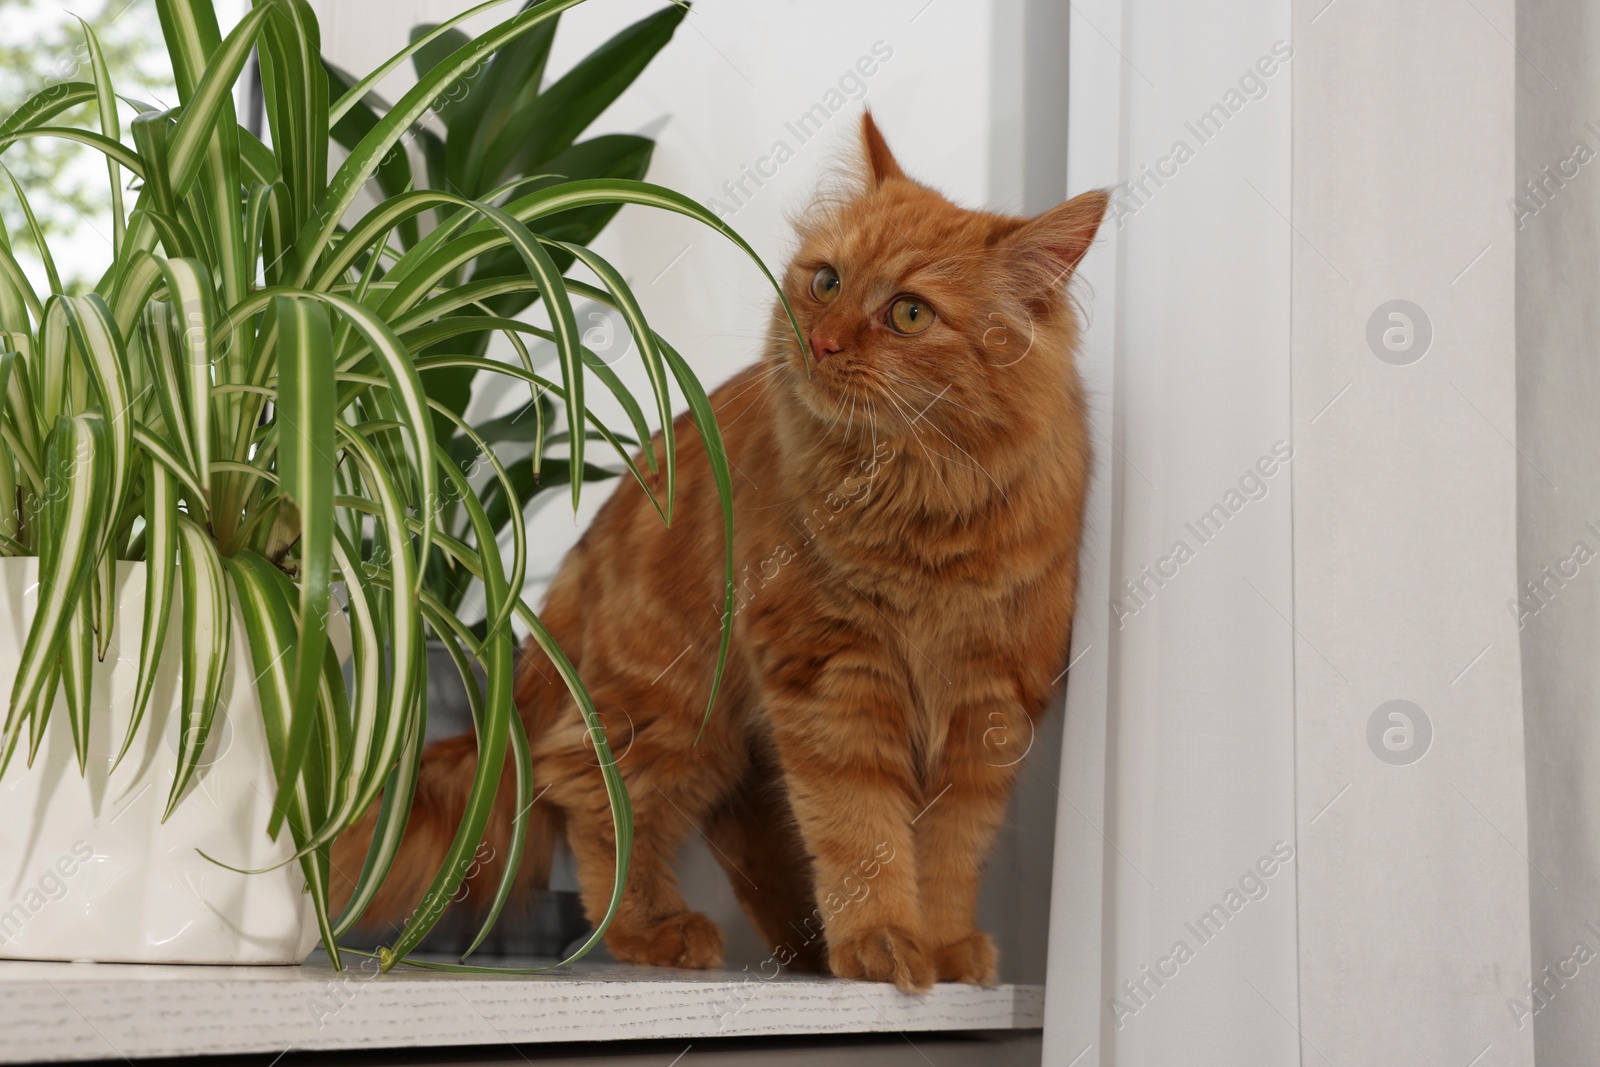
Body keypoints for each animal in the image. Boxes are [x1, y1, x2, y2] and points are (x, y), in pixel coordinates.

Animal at [331, 110, 1107, 991]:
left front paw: (941, 950)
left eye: (909, 314)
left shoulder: (989, 705)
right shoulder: (832, 679)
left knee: (739, 831)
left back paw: (801, 948)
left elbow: (947, 852)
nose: (821, 341)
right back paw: (658, 930)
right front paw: (882, 942)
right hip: (671, 707)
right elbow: (864, 835)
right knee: (588, 796)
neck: (917, 505)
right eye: (827, 282)